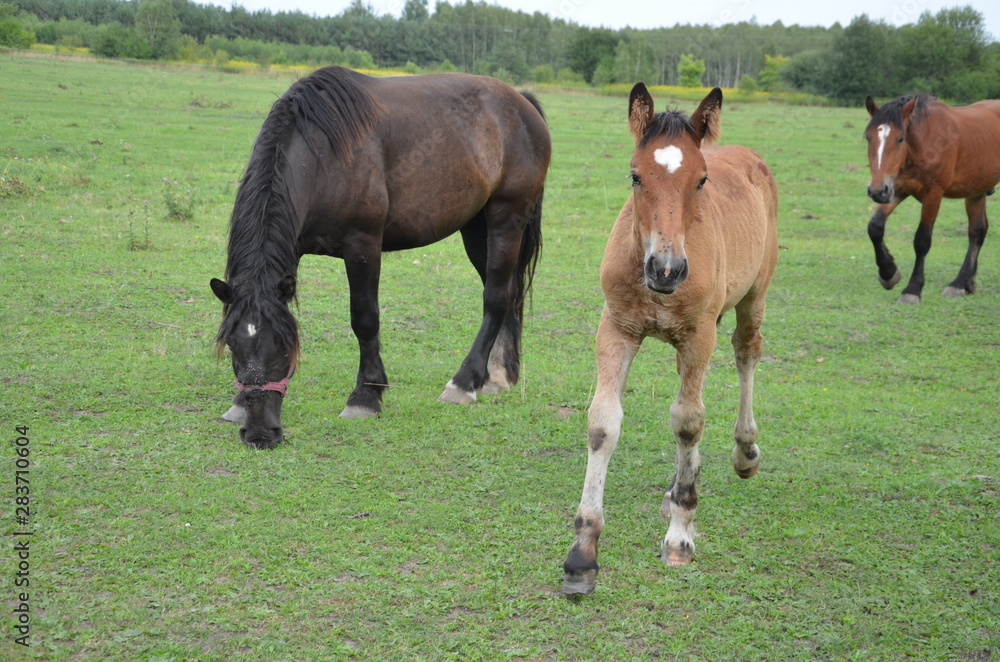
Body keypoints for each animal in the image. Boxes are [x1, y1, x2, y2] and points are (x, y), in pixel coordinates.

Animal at [210, 66, 550, 449]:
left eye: (284, 347)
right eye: (232, 345)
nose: (259, 433)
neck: (322, 155)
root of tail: (522, 103)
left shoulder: (363, 246)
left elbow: (365, 319)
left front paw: (365, 396)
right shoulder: (291, 249)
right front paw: (238, 405)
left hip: (506, 218)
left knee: (495, 297)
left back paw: (464, 383)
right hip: (477, 228)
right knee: (509, 293)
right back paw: (498, 375)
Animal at [561, 84, 779, 595]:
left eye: (701, 181)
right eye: (635, 175)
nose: (666, 269)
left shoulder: (699, 334)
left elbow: (687, 422)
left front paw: (680, 534)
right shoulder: (616, 329)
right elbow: (603, 424)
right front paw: (583, 552)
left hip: (753, 297)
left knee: (746, 353)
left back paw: (745, 452)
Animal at [864, 93, 1000, 303]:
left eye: (900, 139)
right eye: (868, 137)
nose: (877, 191)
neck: (924, 143)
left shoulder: (933, 195)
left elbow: (922, 240)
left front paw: (912, 289)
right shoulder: (896, 189)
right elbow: (875, 227)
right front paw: (888, 272)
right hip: (976, 192)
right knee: (977, 232)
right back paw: (960, 284)